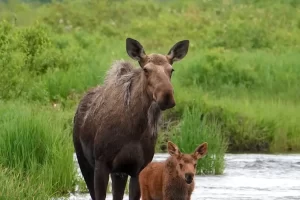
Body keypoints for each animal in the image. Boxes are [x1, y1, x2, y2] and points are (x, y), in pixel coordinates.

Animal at [72, 38, 189, 200]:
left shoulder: (137, 168)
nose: (166, 96)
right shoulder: (101, 164)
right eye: (146, 69)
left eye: (171, 70)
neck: (135, 129)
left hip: (118, 173)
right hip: (84, 161)